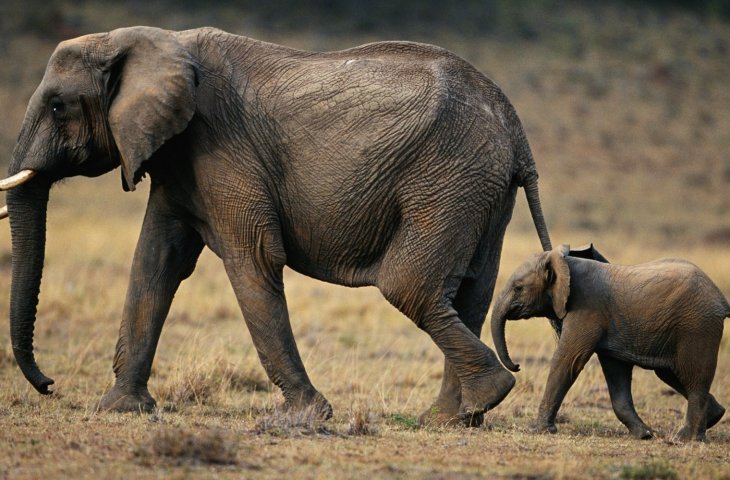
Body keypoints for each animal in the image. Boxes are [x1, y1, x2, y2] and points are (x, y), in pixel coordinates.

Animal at [2, 25, 552, 424]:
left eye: (58, 106)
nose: (48, 384)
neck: (148, 40)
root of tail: (515, 127)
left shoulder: (219, 145)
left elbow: (253, 259)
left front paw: (306, 416)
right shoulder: (177, 159)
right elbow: (155, 262)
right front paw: (121, 409)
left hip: (448, 176)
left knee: (410, 285)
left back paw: (483, 398)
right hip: (480, 189)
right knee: (470, 293)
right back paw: (452, 417)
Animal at [490, 246, 728, 440]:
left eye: (518, 288)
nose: (517, 366)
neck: (563, 263)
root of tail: (720, 298)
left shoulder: (586, 310)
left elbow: (567, 360)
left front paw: (537, 430)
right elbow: (616, 372)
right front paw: (644, 435)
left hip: (697, 326)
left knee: (693, 375)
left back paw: (686, 438)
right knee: (671, 373)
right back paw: (714, 417)